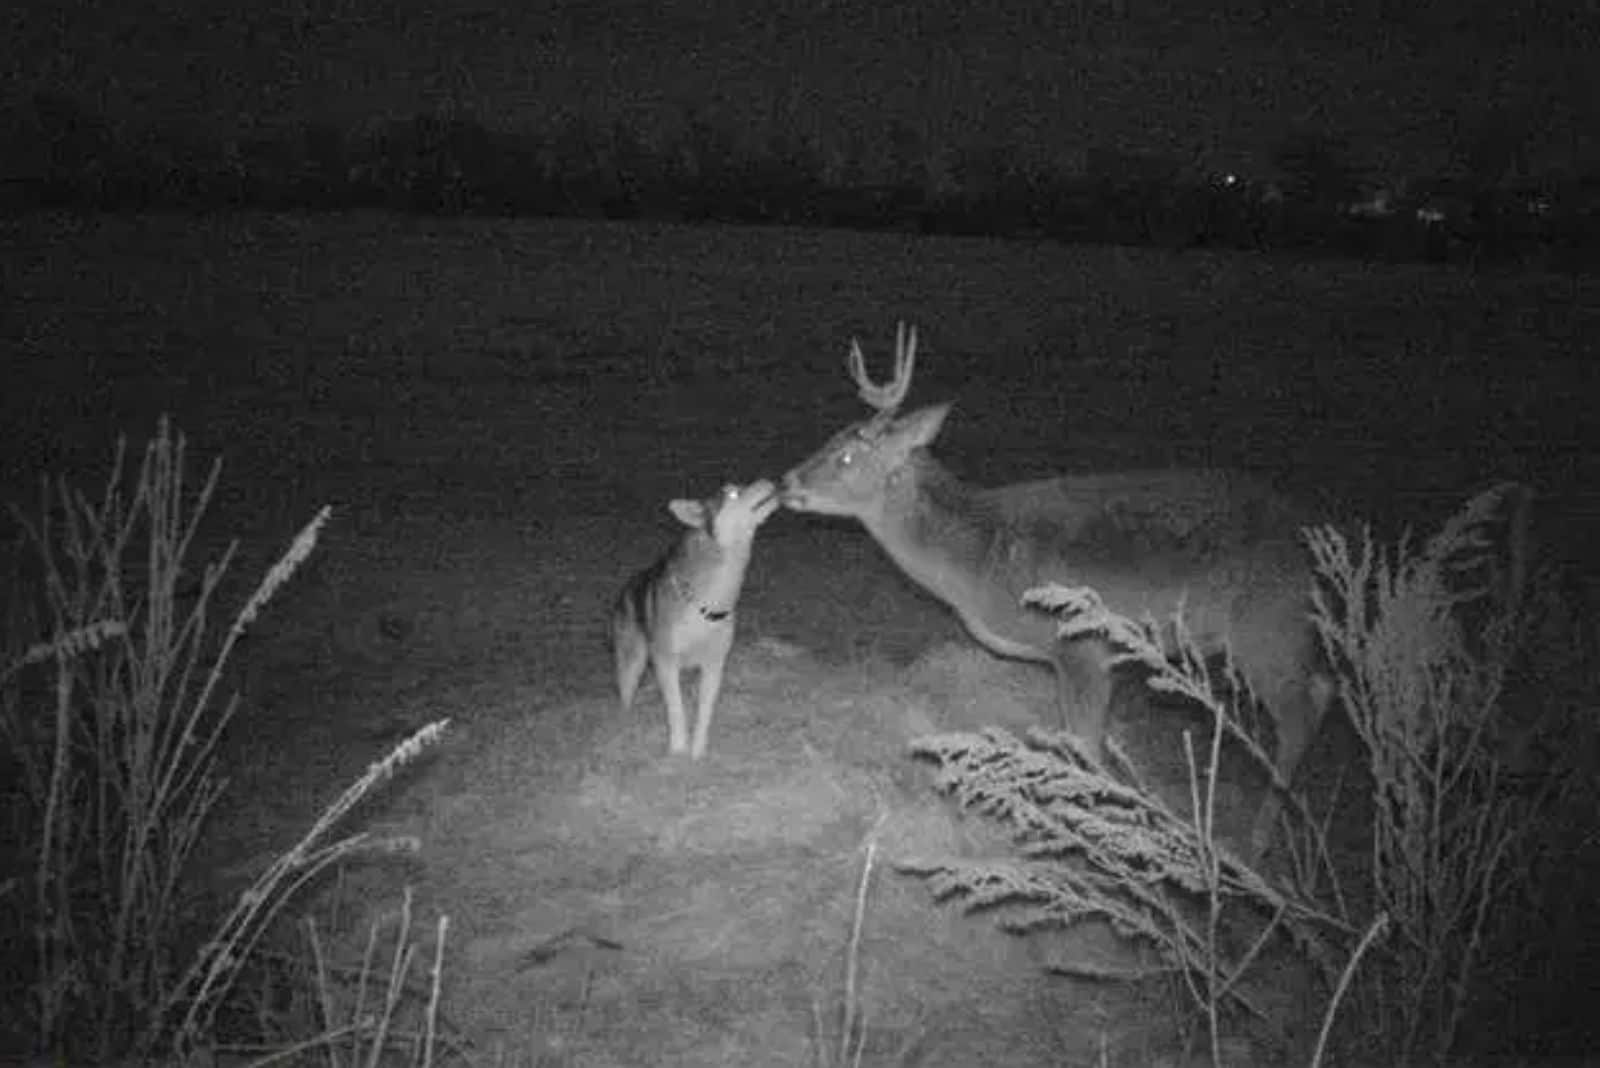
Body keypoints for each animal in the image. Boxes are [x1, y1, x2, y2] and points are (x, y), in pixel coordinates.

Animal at [611, 476, 780, 757]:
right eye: (732, 494)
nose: (767, 480)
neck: (707, 605)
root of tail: (629, 584)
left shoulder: (714, 664)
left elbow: (704, 713)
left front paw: (698, 753)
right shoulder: (666, 661)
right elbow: (676, 711)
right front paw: (678, 752)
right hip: (632, 663)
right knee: (626, 696)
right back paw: (625, 727)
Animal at [780, 321, 1331, 856]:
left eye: (846, 457)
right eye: (830, 440)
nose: (786, 484)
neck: (981, 558)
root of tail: (1312, 541)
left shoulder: (1084, 646)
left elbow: (1087, 748)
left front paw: (1100, 835)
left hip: (1267, 628)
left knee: (1297, 718)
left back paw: (1257, 839)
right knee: (1323, 689)